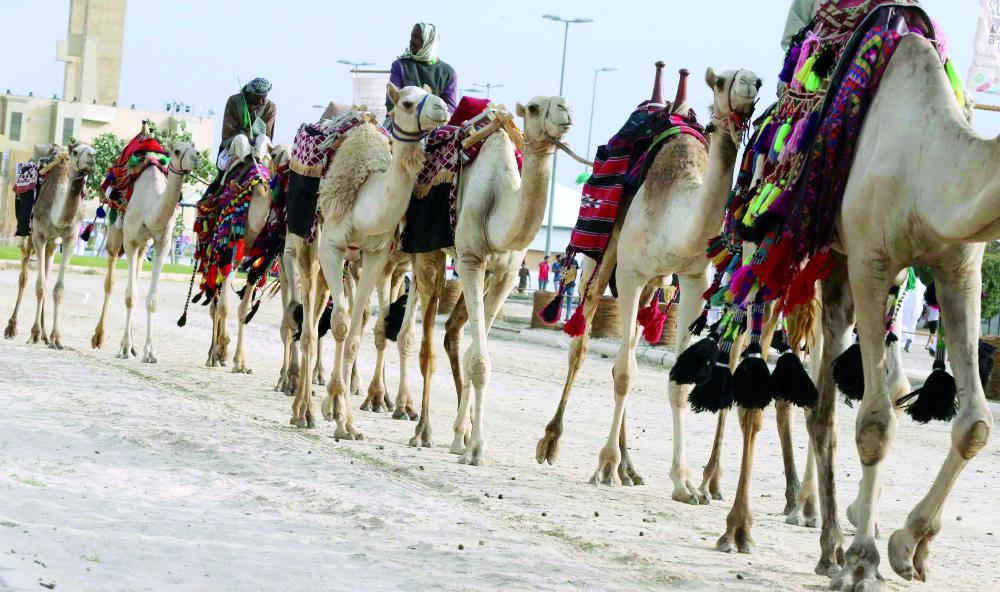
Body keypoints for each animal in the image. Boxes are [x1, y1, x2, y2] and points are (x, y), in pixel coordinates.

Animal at [91, 139, 204, 360]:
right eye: (176, 151)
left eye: (195, 147)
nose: (196, 158)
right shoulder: (130, 241)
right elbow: (130, 296)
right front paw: (124, 348)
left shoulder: (163, 244)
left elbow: (151, 299)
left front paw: (149, 352)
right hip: (115, 232)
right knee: (110, 281)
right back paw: (99, 338)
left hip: (144, 247)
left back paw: (134, 346)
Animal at [290, 83, 446, 434]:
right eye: (407, 102)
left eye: (431, 94)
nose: (442, 108)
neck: (365, 196)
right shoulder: (332, 246)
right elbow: (340, 323)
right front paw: (336, 406)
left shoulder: (377, 256)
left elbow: (357, 335)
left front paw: (344, 418)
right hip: (307, 248)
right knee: (308, 328)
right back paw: (303, 410)